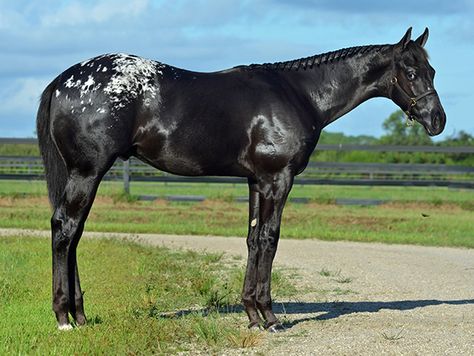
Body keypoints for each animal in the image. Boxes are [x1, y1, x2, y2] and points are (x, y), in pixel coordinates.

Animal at [36, 27, 444, 330]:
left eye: (433, 71)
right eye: (410, 72)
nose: (437, 120)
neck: (299, 95)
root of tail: (62, 81)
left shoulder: (256, 181)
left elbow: (252, 239)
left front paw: (251, 313)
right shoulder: (278, 179)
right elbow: (270, 239)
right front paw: (269, 317)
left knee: (73, 234)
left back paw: (79, 315)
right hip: (87, 172)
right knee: (65, 229)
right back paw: (63, 318)